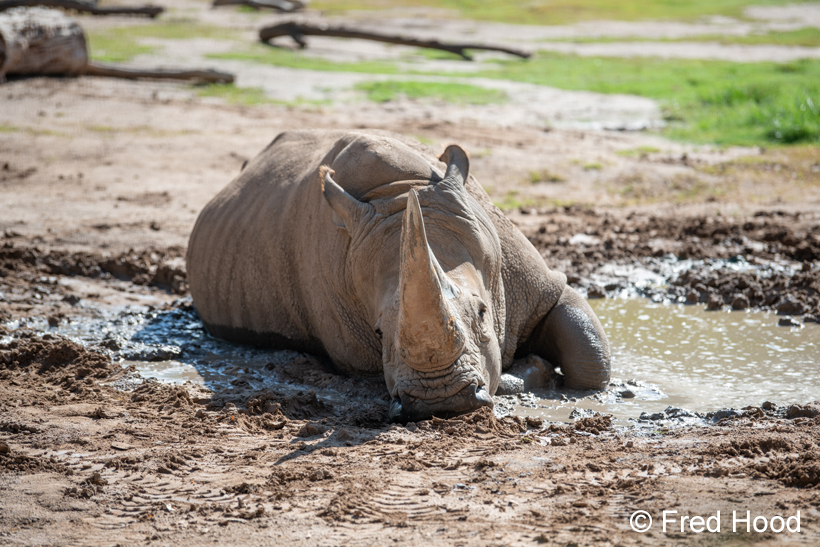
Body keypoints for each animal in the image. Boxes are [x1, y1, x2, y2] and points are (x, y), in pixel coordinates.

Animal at [187, 130, 610, 422]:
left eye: (483, 313)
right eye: (377, 332)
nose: (442, 400)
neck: (399, 190)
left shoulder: (536, 285)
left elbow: (590, 359)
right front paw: (533, 369)